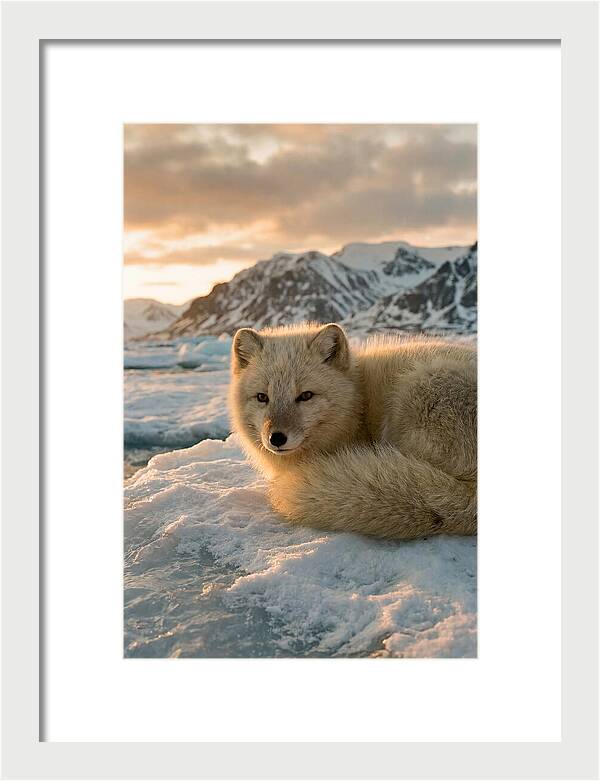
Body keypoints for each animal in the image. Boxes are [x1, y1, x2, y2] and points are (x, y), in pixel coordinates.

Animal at [229, 322, 477, 540]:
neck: (358, 403)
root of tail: (471, 498)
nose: (276, 438)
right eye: (262, 397)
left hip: (415, 391)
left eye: (306, 395)